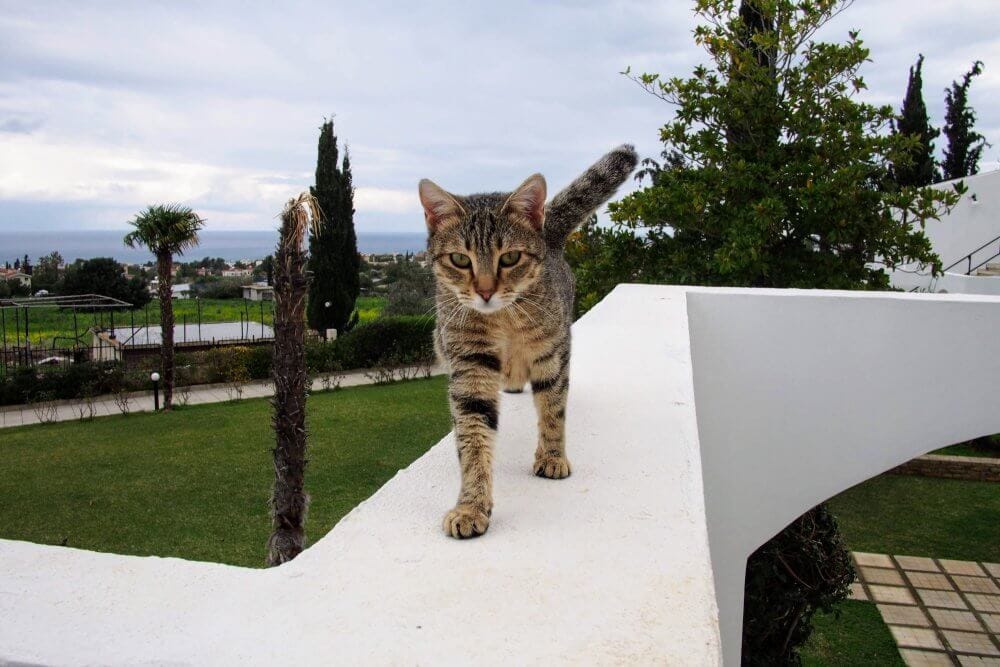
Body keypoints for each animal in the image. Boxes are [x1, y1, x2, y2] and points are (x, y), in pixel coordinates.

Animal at [418, 145, 636, 536]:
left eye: (510, 257)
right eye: (459, 259)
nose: (485, 291)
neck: (503, 320)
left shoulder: (552, 353)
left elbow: (553, 409)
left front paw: (552, 456)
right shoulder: (470, 366)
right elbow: (473, 437)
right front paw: (471, 505)